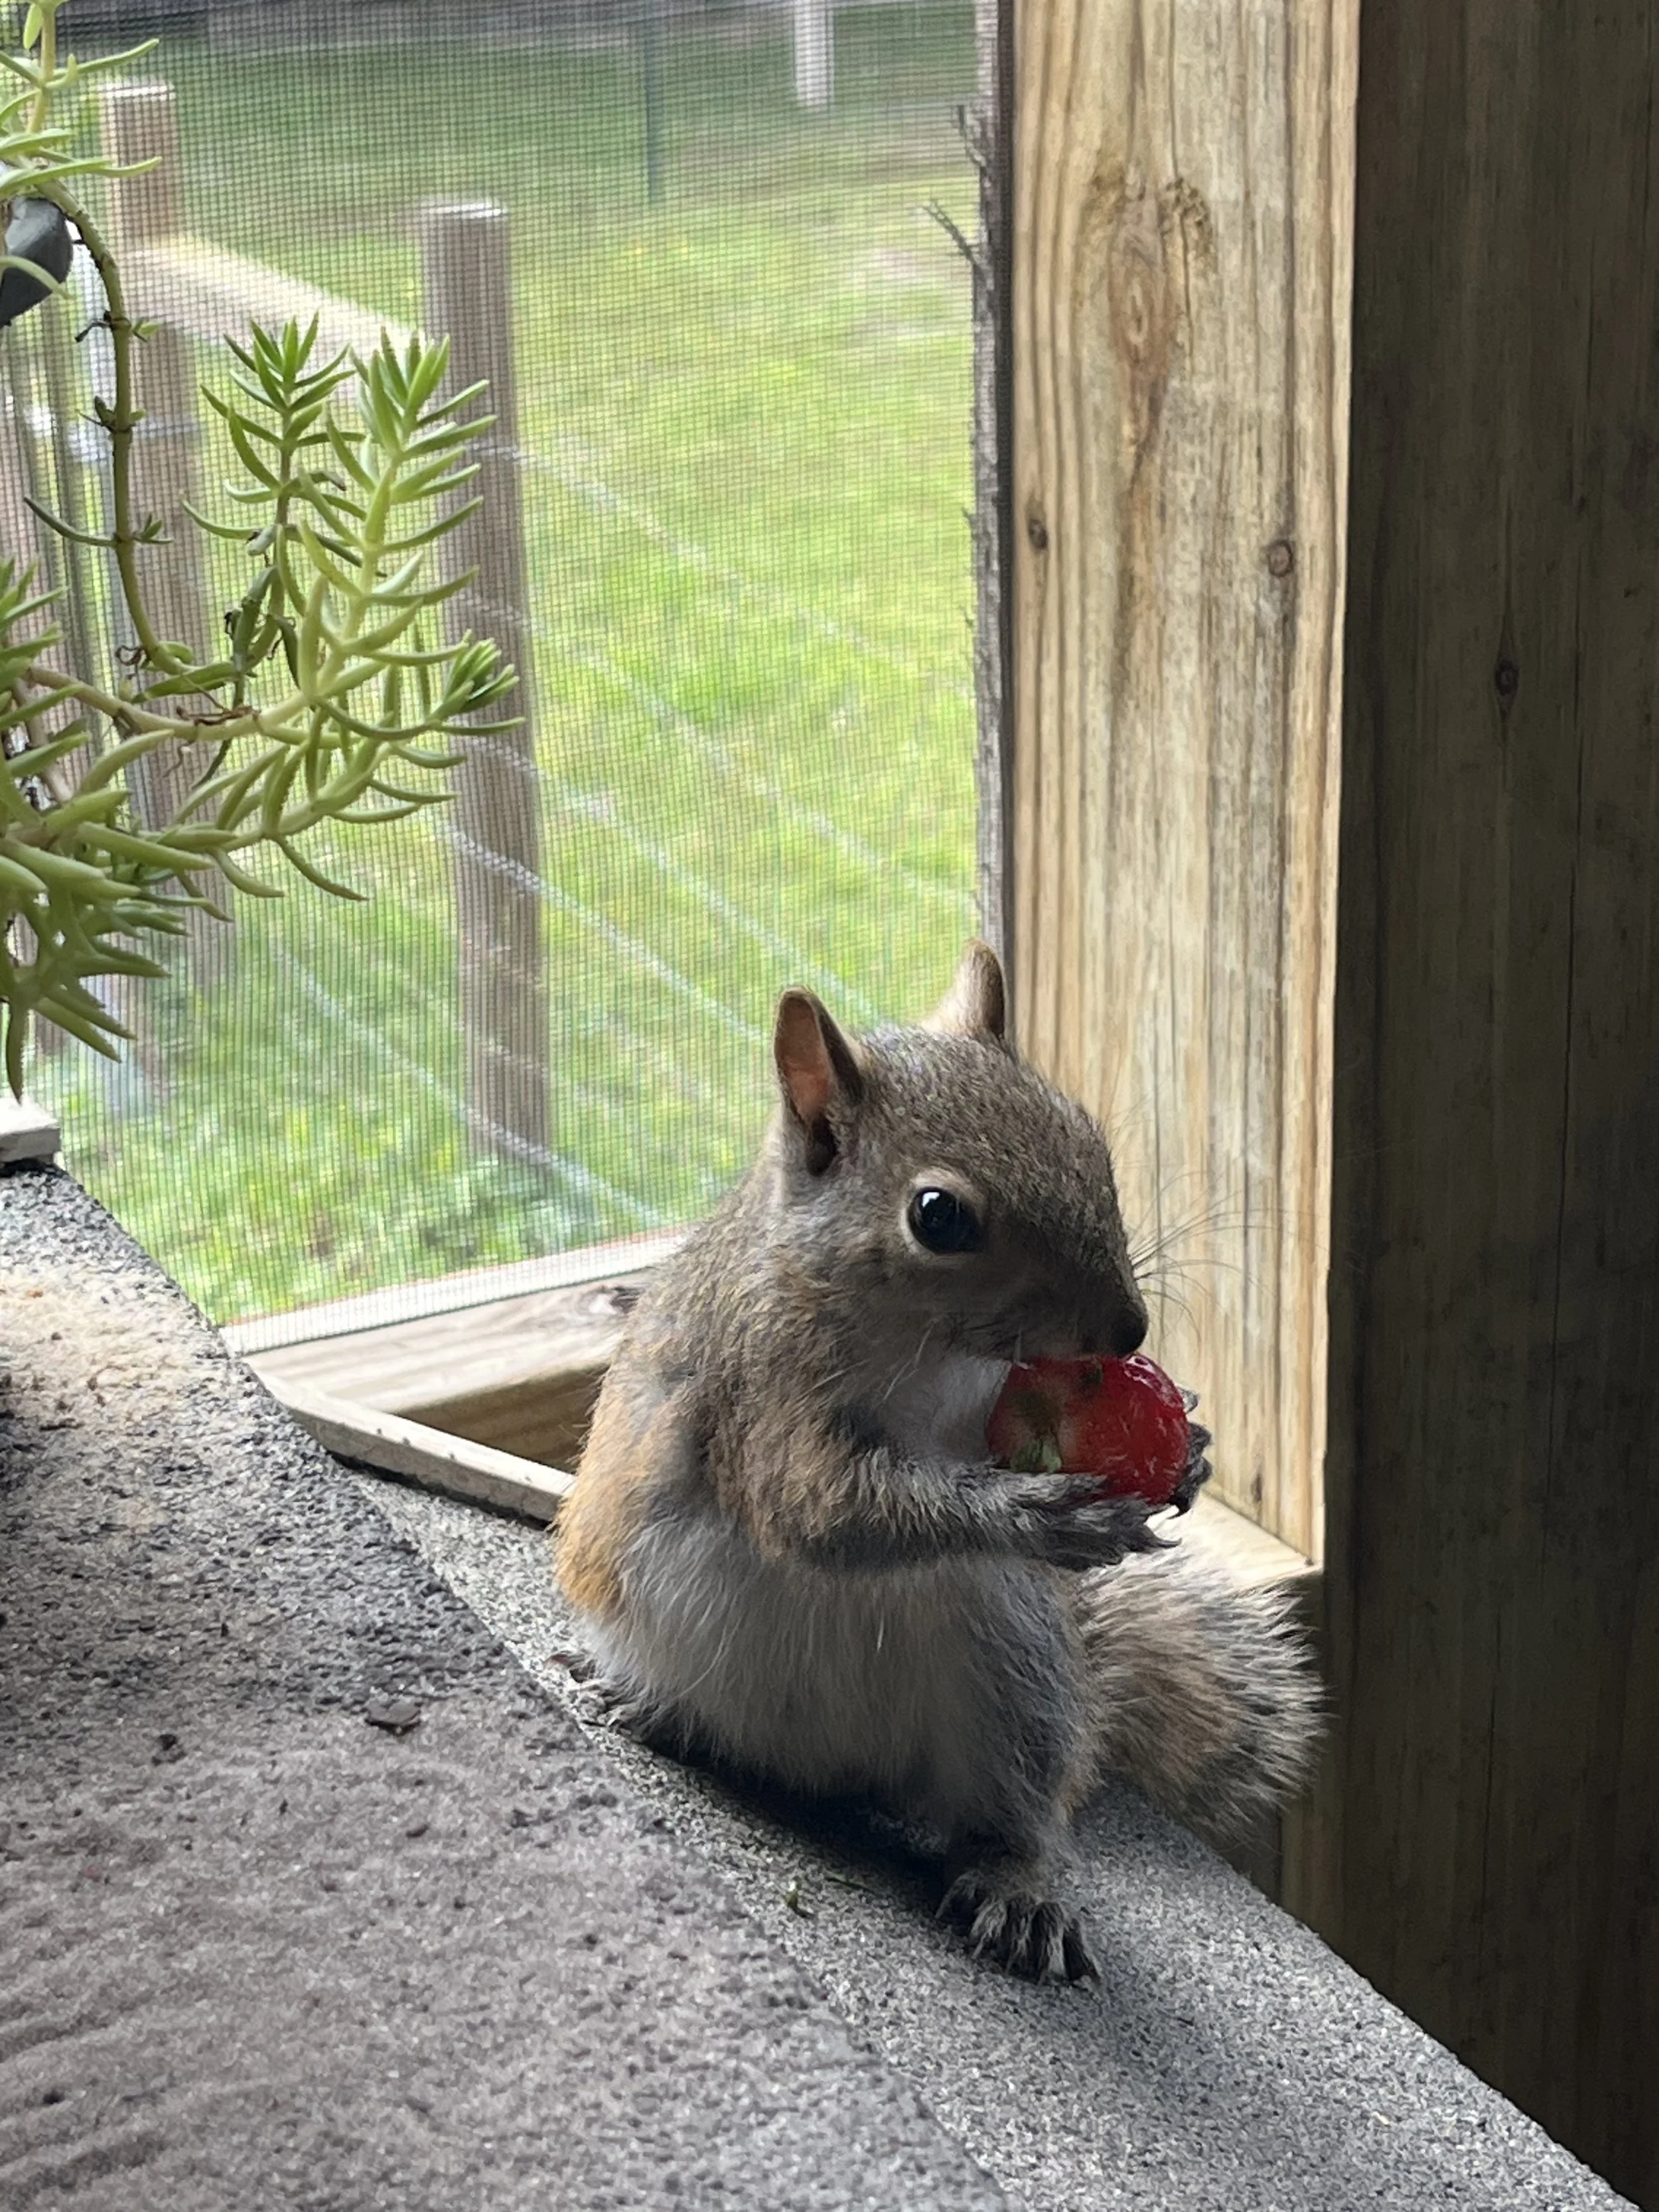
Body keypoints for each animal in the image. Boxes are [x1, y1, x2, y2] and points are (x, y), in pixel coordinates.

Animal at [554, 942, 1319, 1984]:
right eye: (937, 1217)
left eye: (1088, 1142)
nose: (1128, 1330)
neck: (922, 1346)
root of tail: (831, 1768)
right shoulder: (761, 1395)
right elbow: (822, 1511)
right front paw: (1037, 1515)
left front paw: (1190, 1451)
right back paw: (654, 1712)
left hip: (1021, 1680)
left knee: (1009, 1815)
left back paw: (1017, 1887)